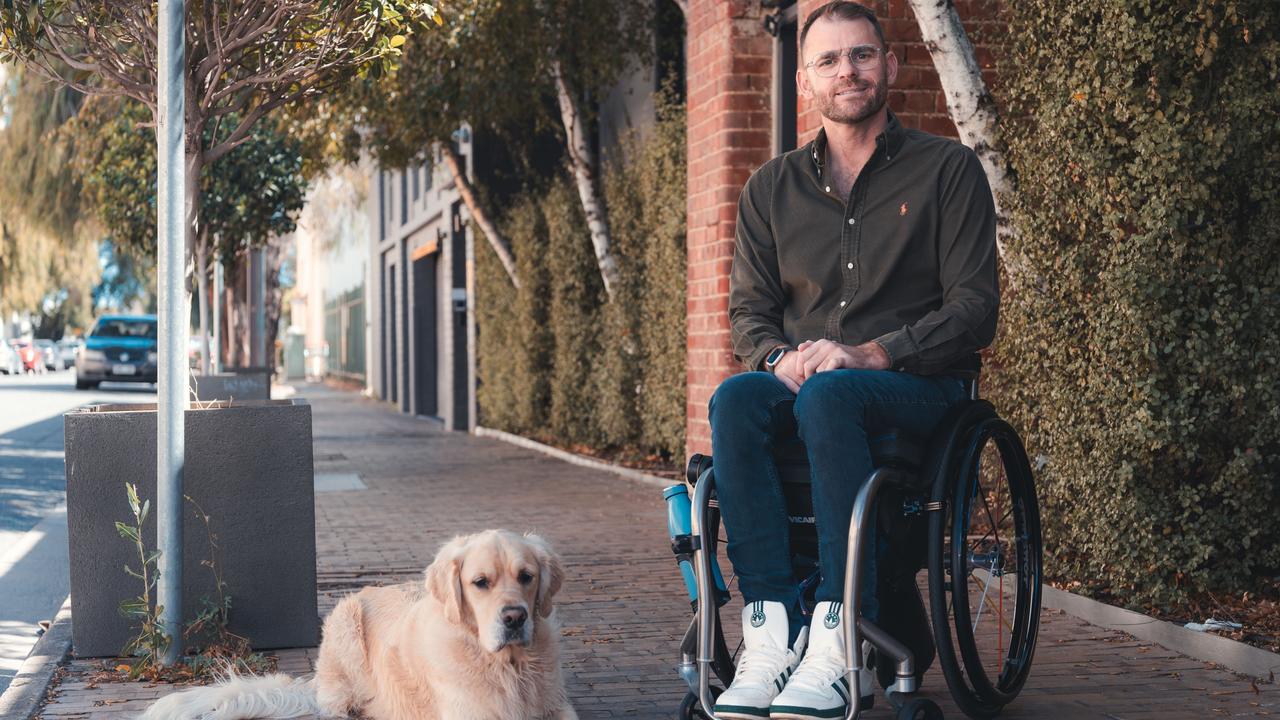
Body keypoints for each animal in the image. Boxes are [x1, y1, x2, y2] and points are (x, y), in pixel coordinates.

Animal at [140, 527, 576, 717]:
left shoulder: (557, 709)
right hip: (345, 623)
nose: (515, 617)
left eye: (526, 576)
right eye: (480, 582)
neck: (508, 666)